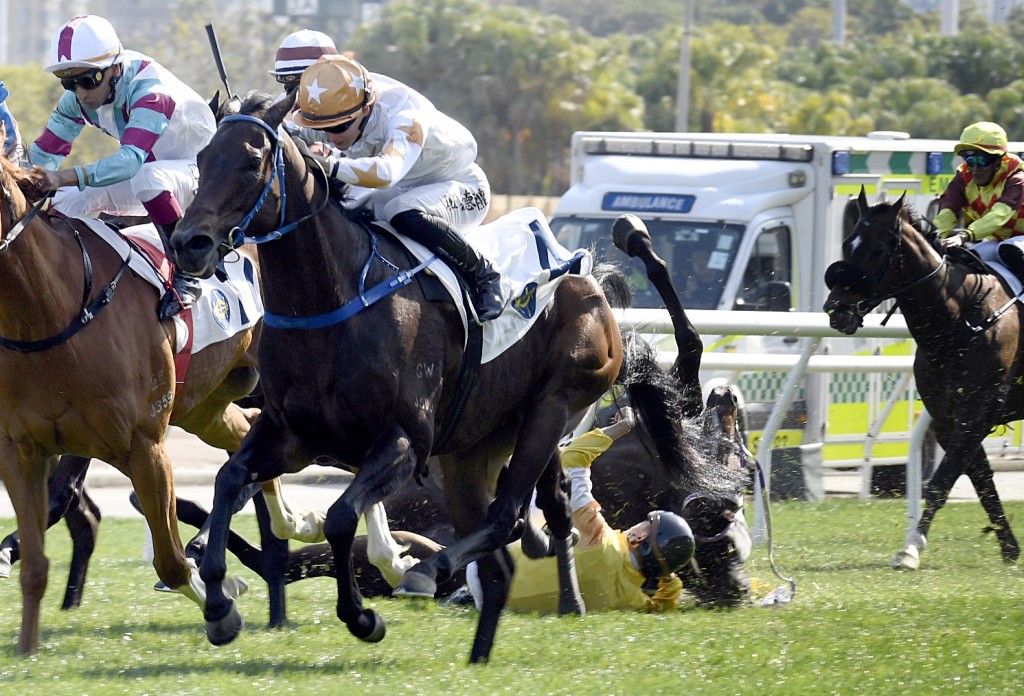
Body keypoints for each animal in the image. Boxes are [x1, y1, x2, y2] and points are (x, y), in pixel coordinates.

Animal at [172, 93, 737, 663]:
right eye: (201, 158)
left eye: (251, 162)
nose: (188, 243)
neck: (334, 303)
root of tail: (587, 279)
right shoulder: (294, 433)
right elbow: (230, 480)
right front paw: (217, 604)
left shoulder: (403, 441)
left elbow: (339, 517)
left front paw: (362, 615)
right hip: (474, 449)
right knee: (517, 542)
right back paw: (486, 647)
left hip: (552, 408)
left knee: (509, 515)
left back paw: (431, 570)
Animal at [823, 187, 1024, 569]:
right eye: (846, 243)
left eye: (878, 250)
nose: (837, 309)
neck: (961, 321)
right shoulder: (947, 417)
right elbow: (980, 479)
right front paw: (1009, 546)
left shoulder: (977, 411)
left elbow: (942, 481)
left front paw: (910, 548)